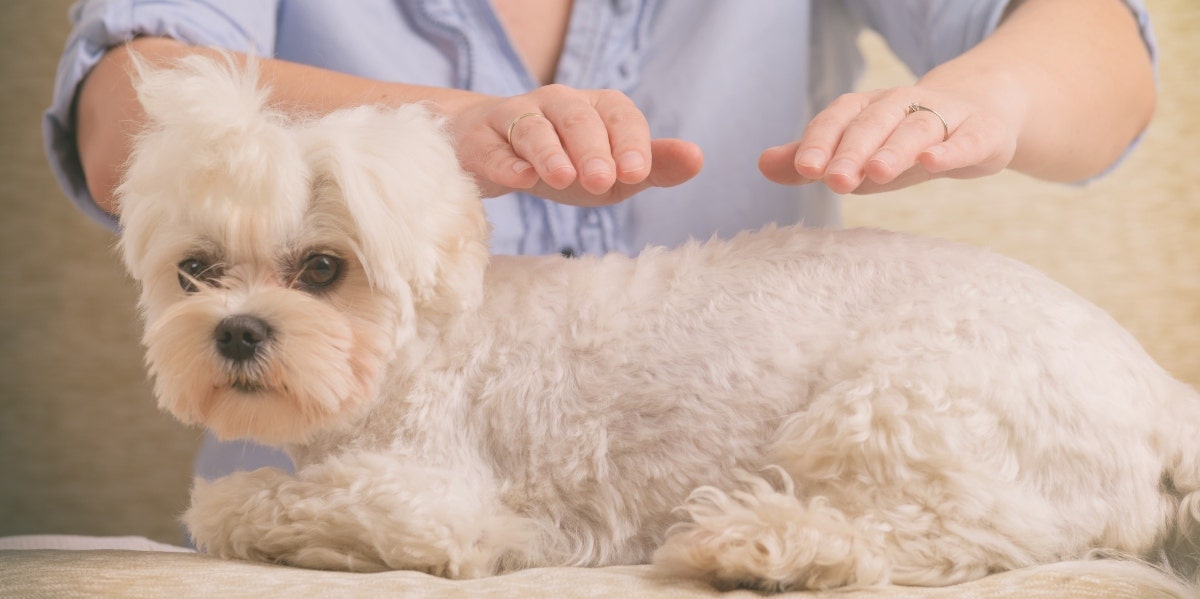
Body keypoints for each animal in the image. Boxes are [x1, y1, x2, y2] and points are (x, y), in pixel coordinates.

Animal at [114, 54, 1200, 592]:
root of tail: (1162, 397)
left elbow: (235, 504)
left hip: (896, 407)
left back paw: (768, 545)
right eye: (196, 270)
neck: (428, 345)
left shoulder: (428, 497)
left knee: (945, 536)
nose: (237, 330)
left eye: (323, 269)